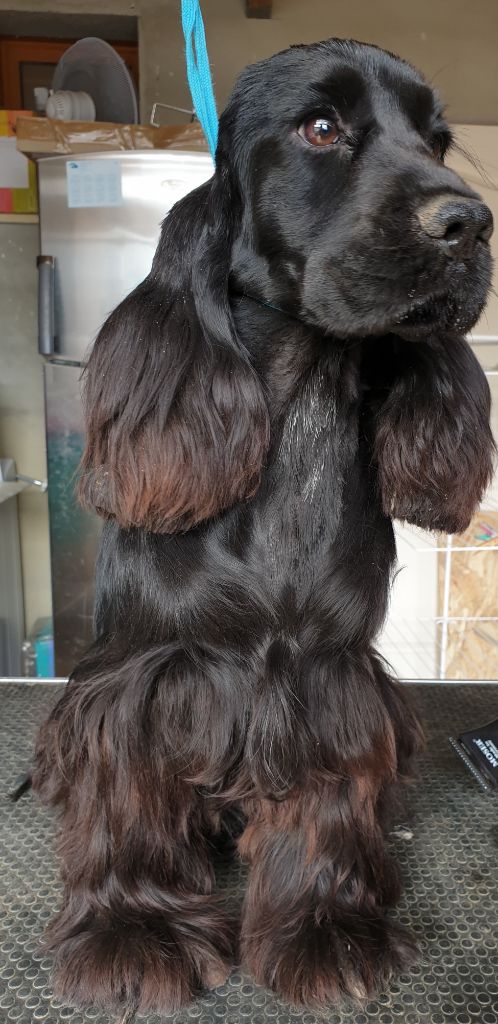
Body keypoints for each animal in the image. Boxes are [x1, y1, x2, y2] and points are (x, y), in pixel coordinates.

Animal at [33, 38, 495, 1014]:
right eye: (320, 127)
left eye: (437, 139)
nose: (470, 224)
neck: (303, 398)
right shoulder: (140, 674)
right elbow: (128, 795)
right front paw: (135, 929)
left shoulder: (328, 673)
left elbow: (326, 804)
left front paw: (325, 927)